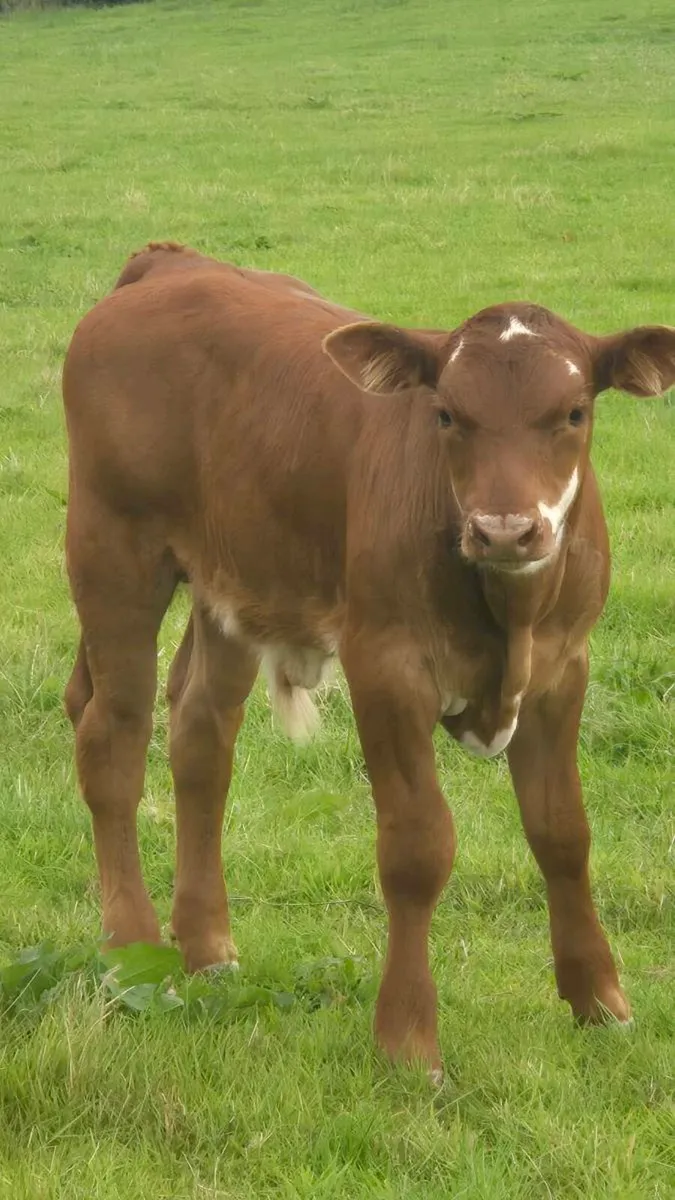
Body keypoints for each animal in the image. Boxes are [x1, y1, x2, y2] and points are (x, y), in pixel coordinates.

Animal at [62, 242, 675, 1077]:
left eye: (573, 412)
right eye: (446, 414)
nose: (504, 529)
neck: (507, 613)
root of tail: (171, 264)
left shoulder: (562, 668)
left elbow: (561, 832)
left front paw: (598, 999)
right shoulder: (385, 667)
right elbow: (417, 848)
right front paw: (408, 1040)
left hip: (232, 580)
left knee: (200, 736)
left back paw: (208, 945)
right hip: (112, 550)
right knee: (112, 740)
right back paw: (131, 946)